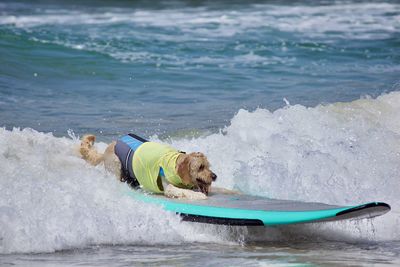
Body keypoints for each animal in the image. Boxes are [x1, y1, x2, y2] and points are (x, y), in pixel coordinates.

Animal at [79, 135, 217, 200]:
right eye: (200, 167)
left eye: (208, 166)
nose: (215, 176)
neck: (175, 164)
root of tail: (106, 150)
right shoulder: (169, 188)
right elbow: (185, 191)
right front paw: (199, 195)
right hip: (116, 165)